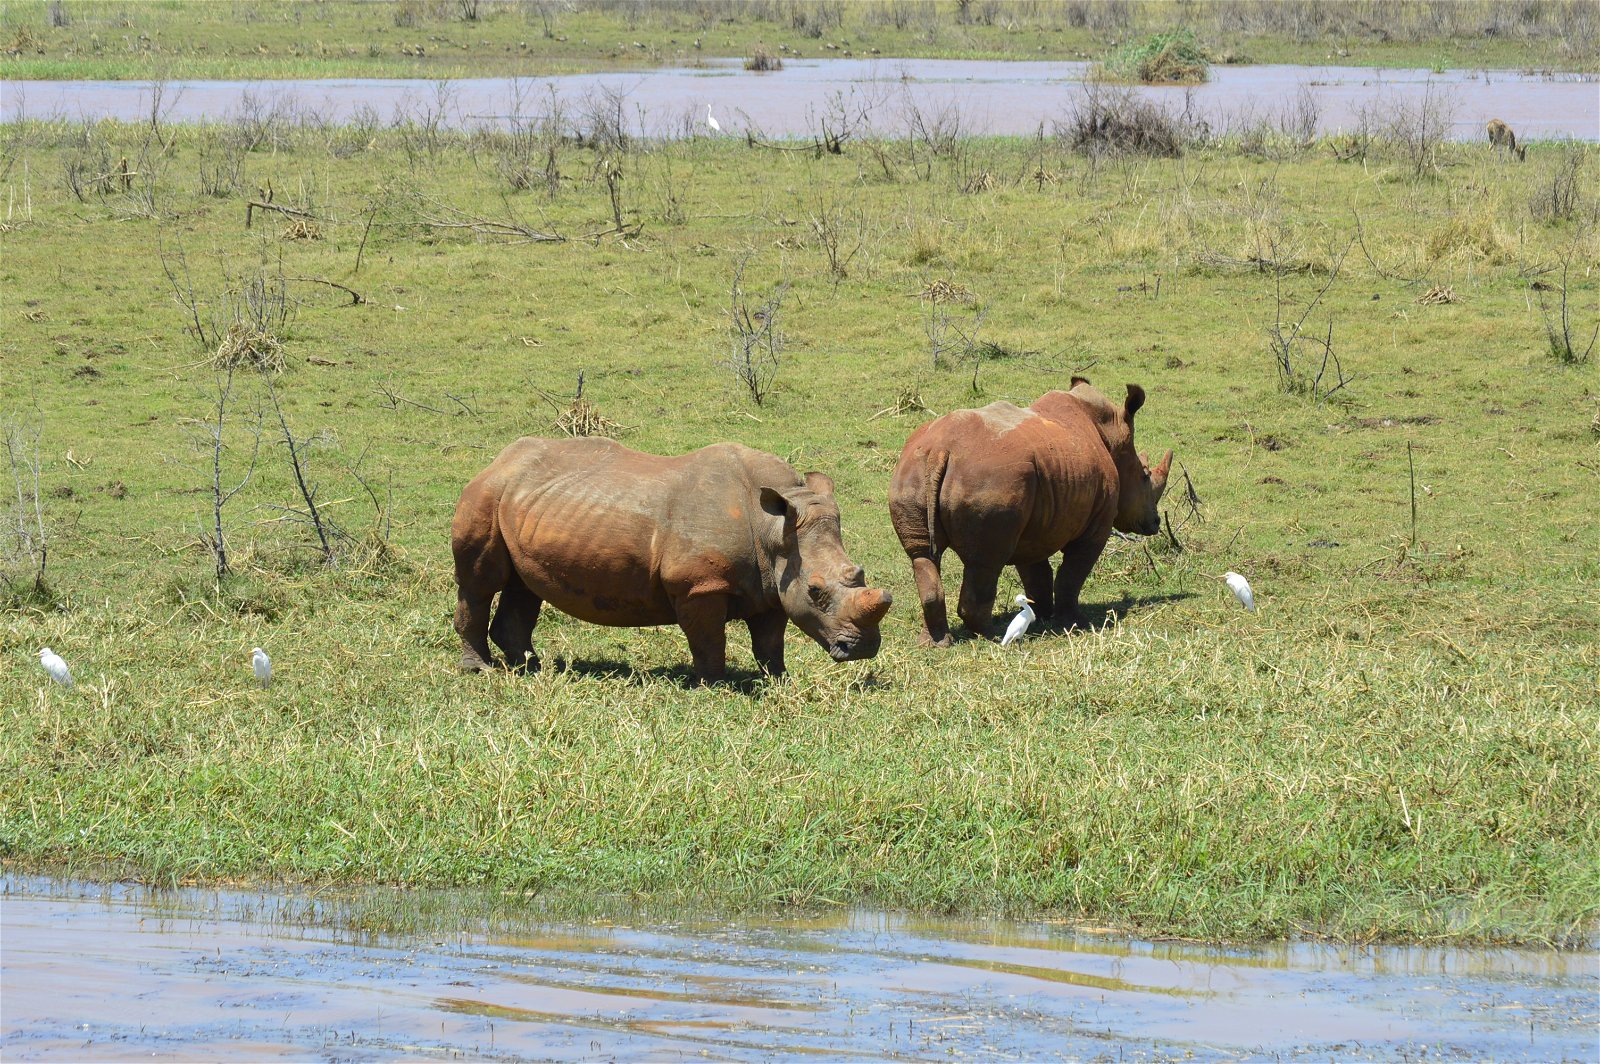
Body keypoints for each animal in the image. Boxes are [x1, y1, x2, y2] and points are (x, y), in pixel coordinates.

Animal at [451, 437, 892, 682]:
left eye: (859, 574)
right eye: (816, 592)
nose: (864, 648)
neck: (772, 531)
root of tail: (498, 460)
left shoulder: (772, 585)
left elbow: (770, 642)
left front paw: (779, 681)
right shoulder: (699, 586)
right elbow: (709, 641)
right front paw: (714, 686)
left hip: (527, 504)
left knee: (524, 586)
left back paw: (532, 668)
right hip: (485, 495)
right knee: (480, 582)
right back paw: (483, 670)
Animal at [888, 379, 1172, 645]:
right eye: (1145, 476)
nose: (1156, 522)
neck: (1112, 438)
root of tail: (940, 450)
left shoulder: (1035, 519)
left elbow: (1036, 572)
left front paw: (1042, 616)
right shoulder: (1096, 524)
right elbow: (1072, 573)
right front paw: (1075, 622)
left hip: (911, 472)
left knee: (922, 555)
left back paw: (934, 643)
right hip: (991, 479)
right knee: (985, 562)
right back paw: (991, 634)